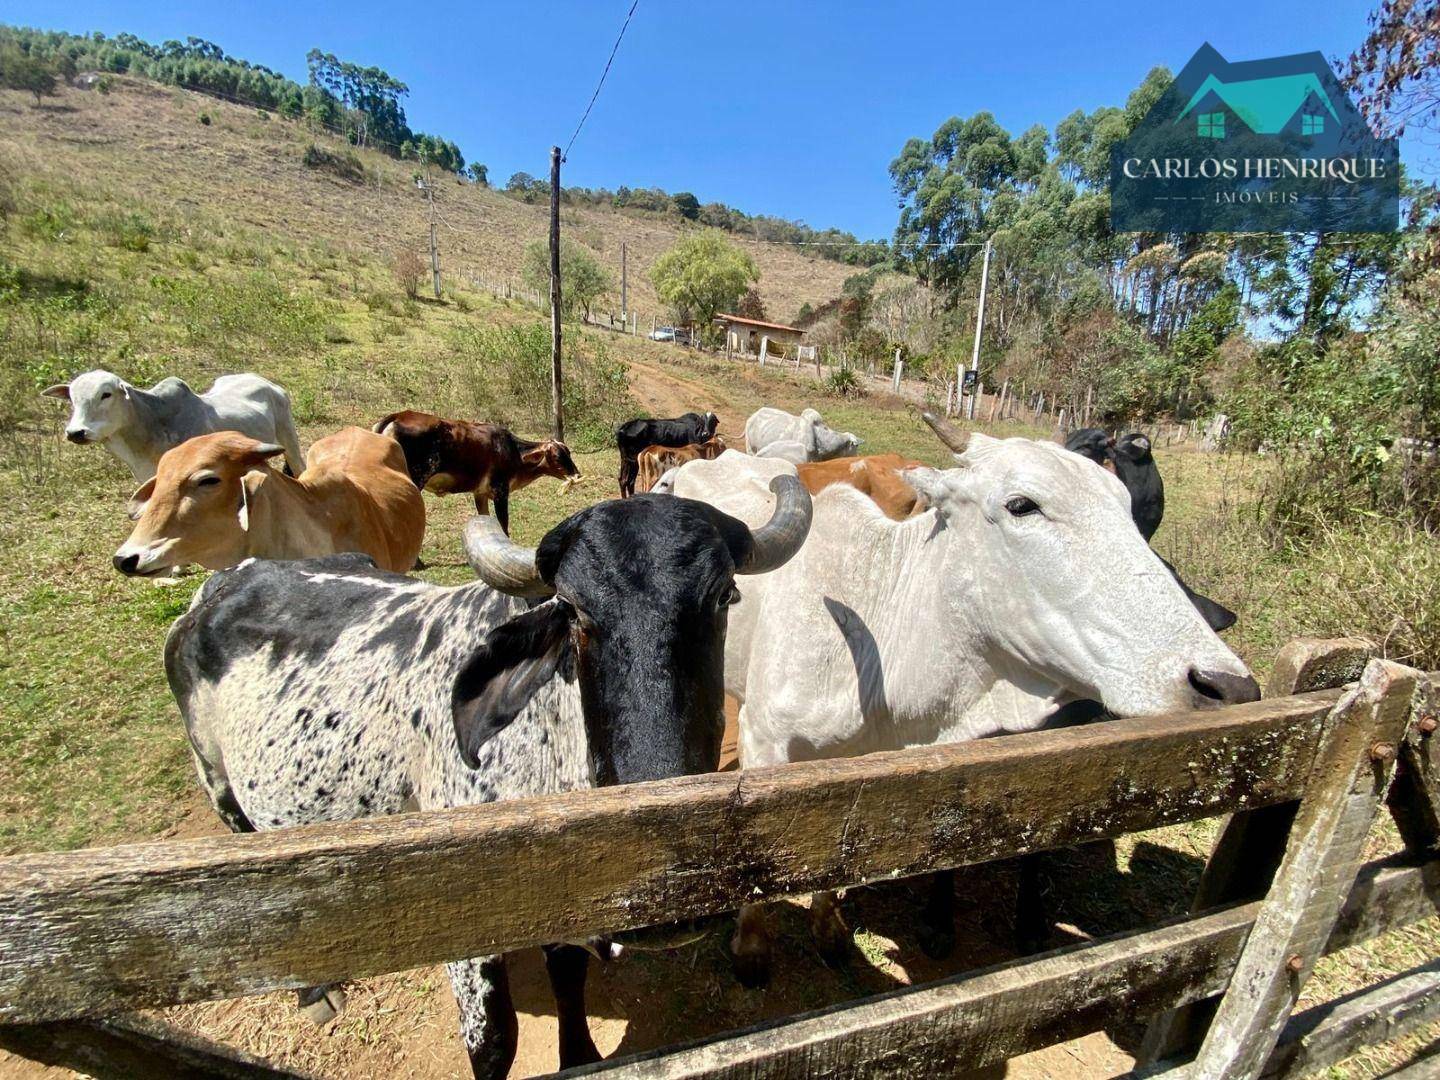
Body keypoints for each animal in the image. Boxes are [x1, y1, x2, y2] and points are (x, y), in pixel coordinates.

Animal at [162, 483, 812, 1080]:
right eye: (573, 611)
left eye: (725, 594)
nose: (672, 907)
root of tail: (223, 584)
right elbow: (494, 1041)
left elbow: (568, 978)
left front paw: (579, 1056)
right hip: (220, 787)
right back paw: (313, 989)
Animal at [374, 408, 581, 535]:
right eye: (557, 456)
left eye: (568, 452)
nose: (577, 474)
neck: (512, 450)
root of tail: (399, 415)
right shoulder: (500, 491)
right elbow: (503, 523)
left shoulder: (480, 493)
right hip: (415, 480)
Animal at [668, 420, 1255, 990]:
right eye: (1022, 504)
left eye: (1126, 504)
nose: (1225, 685)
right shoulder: (764, 740)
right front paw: (751, 949)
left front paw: (829, 932)